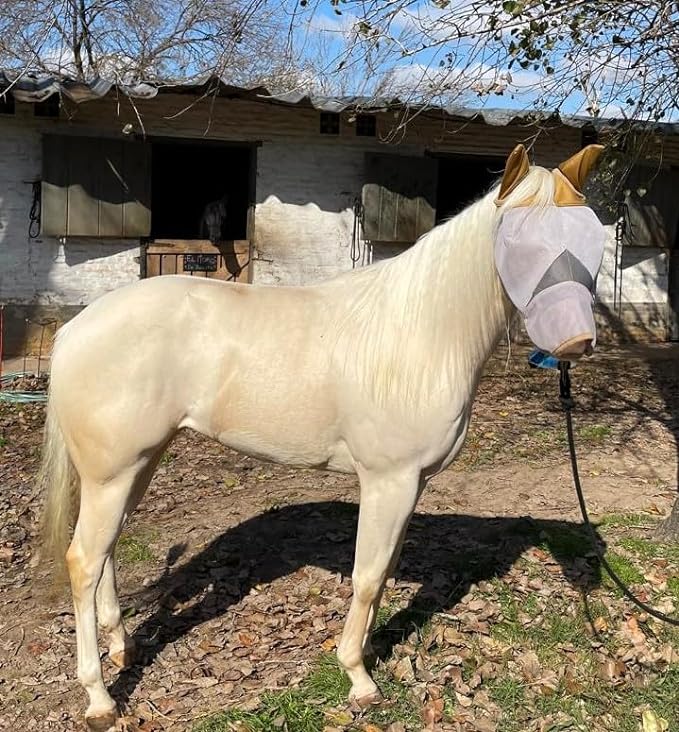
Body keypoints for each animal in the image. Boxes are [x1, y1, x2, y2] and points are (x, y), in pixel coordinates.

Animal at [39, 143, 606, 731]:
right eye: (518, 240)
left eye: (593, 233)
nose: (576, 341)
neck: (418, 335)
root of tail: (74, 329)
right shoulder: (387, 480)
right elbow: (367, 575)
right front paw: (359, 678)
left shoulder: (412, 483)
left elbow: (385, 571)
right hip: (114, 473)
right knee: (84, 561)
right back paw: (100, 697)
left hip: (133, 467)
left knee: (105, 551)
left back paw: (122, 647)